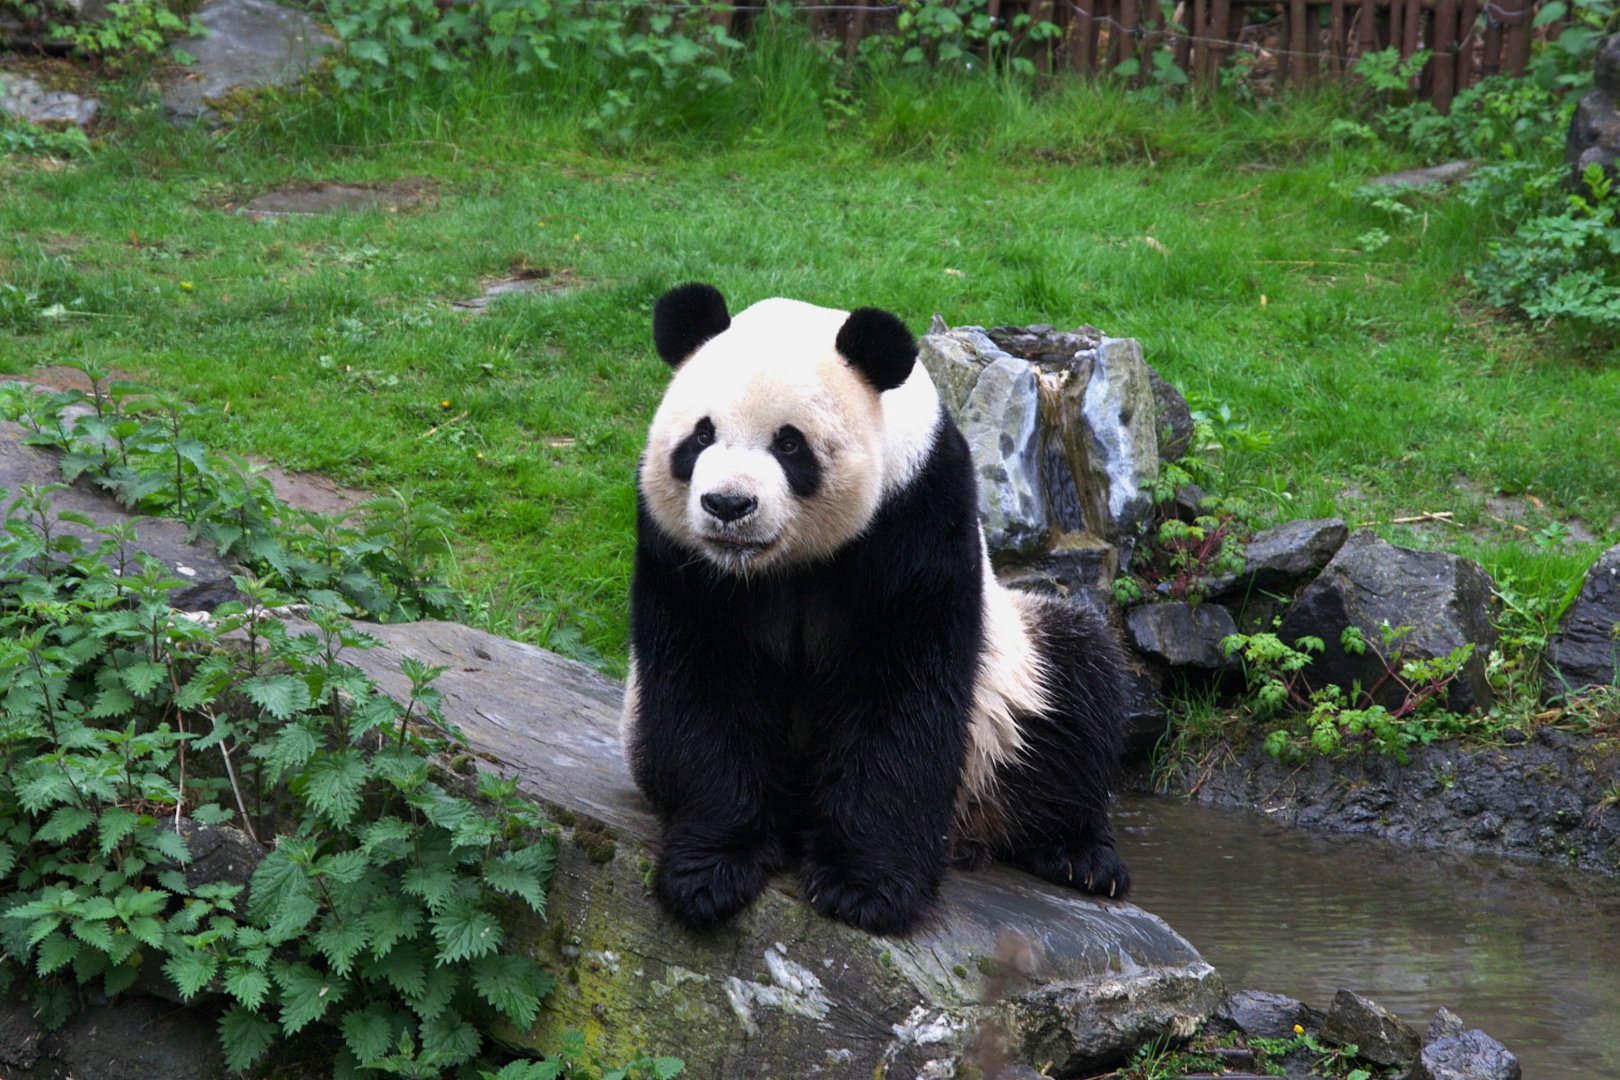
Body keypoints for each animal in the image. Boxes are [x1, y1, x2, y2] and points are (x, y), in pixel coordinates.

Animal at [623, 282, 1131, 935]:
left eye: (789, 444)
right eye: (701, 437)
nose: (728, 505)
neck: (776, 563)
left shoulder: (917, 513)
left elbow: (901, 692)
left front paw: (863, 889)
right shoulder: (680, 551)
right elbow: (706, 686)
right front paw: (709, 872)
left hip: (1009, 691)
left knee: (1075, 688)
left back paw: (1080, 857)